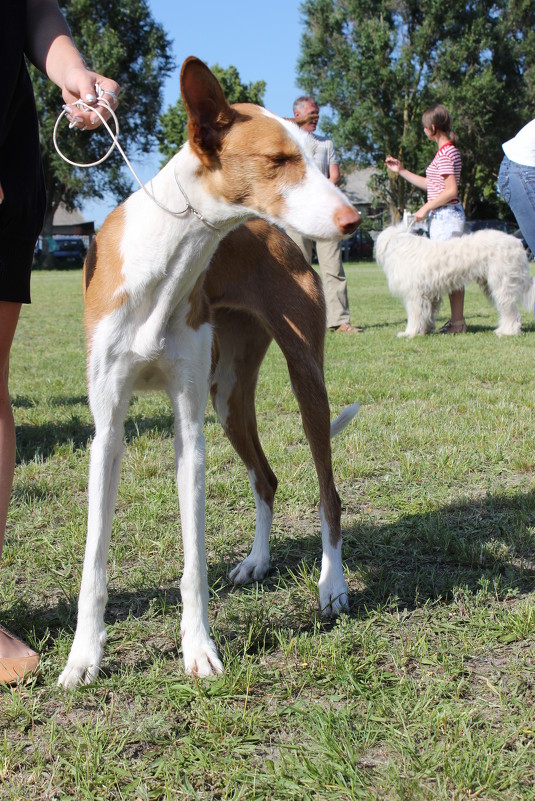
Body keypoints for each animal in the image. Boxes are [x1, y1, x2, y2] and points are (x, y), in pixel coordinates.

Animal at [57, 57, 360, 688]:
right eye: (278, 160)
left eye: (314, 156)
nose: (353, 219)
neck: (168, 258)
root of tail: (275, 236)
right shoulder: (108, 429)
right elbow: (94, 561)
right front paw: (83, 658)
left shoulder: (189, 430)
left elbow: (193, 560)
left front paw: (198, 650)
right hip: (228, 398)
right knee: (266, 478)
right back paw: (257, 562)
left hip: (303, 383)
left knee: (328, 495)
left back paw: (333, 587)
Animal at [376, 225, 535, 338]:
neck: (399, 245)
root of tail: (517, 242)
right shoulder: (430, 295)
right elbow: (427, 314)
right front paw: (425, 330)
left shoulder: (415, 295)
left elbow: (415, 315)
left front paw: (409, 333)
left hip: (501, 284)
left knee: (510, 311)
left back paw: (508, 331)